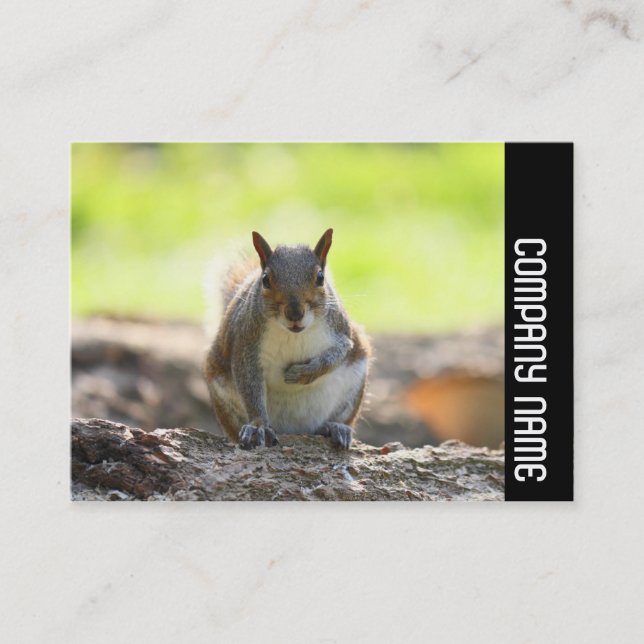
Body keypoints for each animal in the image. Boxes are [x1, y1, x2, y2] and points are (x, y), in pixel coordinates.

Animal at [203, 228, 370, 450]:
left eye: (320, 277)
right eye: (265, 280)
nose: (294, 313)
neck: (294, 334)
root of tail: (294, 430)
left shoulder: (342, 331)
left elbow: (339, 353)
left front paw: (304, 373)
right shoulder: (245, 344)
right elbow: (249, 386)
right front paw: (258, 425)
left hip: (353, 387)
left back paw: (334, 427)